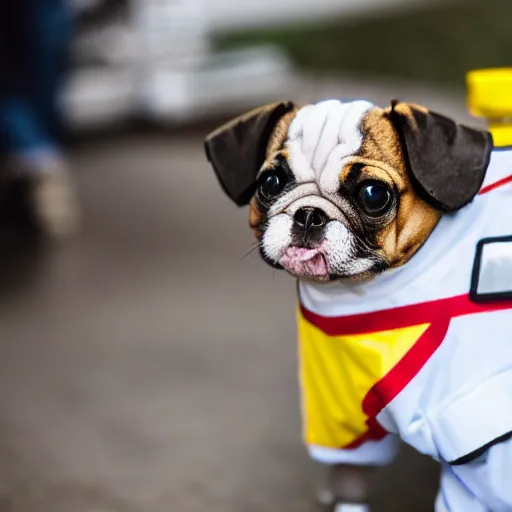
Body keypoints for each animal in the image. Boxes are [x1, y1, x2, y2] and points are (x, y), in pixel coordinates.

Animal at [204, 100, 512, 512]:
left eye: (372, 194)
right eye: (270, 183)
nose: (309, 214)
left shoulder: (482, 441)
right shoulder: (339, 418)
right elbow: (349, 476)